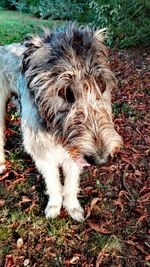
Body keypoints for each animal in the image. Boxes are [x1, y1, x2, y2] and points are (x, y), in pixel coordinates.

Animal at [0, 24, 122, 222]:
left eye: (102, 85)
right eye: (65, 92)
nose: (101, 160)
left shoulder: (75, 151)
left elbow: (71, 182)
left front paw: (72, 207)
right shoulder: (43, 152)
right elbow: (53, 181)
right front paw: (55, 205)